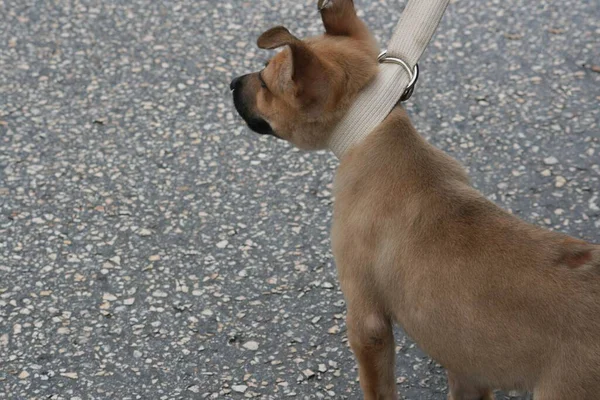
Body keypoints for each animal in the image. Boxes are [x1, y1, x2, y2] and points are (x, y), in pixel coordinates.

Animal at [230, 1, 600, 398]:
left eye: (265, 82)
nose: (232, 82)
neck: (370, 127)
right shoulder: (466, 362)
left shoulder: (367, 320)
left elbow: (378, 387)